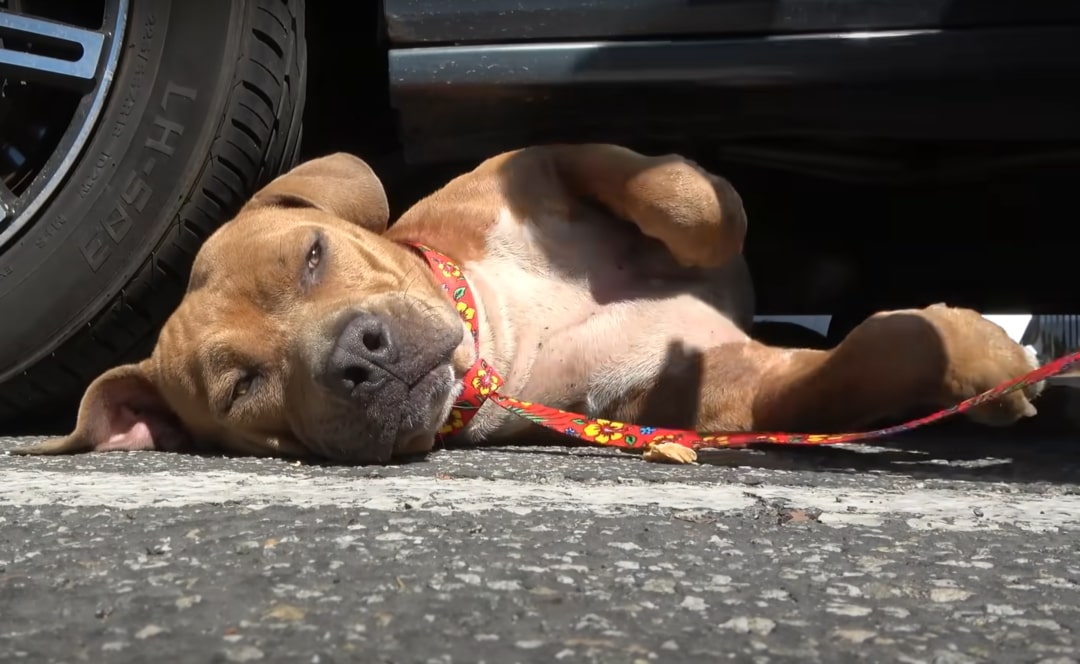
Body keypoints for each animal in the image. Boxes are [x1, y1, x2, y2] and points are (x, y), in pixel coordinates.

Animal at [14, 142, 1045, 464]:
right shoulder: (712, 391)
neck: (499, 330)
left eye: (312, 256)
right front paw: (973, 360)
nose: (359, 356)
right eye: (242, 390)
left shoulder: (546, 161)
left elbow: (690, 198)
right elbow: (857, 366)